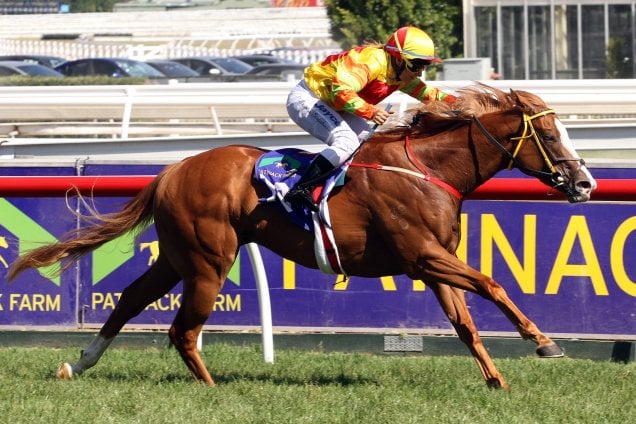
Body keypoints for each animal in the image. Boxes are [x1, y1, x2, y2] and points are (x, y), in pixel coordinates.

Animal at [7, 84, 596, 390]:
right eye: (549, 135)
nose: (586, 183)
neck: (427, 169)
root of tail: (170, 170)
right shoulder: (424, 254)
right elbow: (493, 285)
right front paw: (544, 344)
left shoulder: (431, 262)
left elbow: (465, 323)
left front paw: (496, 380)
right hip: (208, 259)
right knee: (182, 328)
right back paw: (212, 388)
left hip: (176, 256)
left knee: (130, 299)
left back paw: (78, 363)